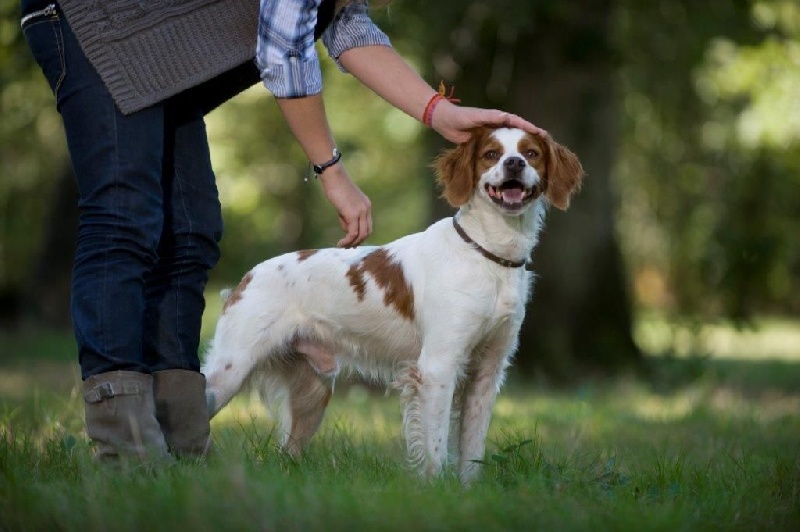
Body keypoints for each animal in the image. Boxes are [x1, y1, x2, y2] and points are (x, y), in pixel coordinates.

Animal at [203, 125, 584, 482]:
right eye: (491, 154)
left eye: (531, 153)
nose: (514, 163)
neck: (489, 256)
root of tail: (245, 279)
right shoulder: (437, 366)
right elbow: (435, 446)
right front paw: (437, 488)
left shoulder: (487, 371)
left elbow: (472, 449)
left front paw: (468, 490)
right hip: (229, 370)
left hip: (312, 393)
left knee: (288, 451)